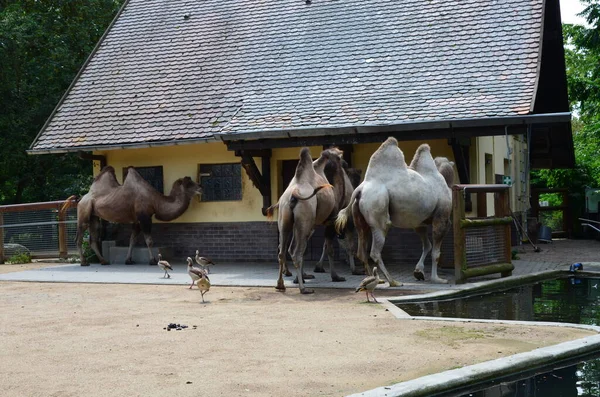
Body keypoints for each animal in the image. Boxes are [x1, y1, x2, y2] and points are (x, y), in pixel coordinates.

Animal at [73, 166, 202, 264]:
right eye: (189, 184)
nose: (200, 187)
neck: (155, 200)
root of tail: (81, 199)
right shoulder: (144, 217)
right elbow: (149, 240)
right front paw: (152, 260)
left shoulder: (137, 220)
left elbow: (132, 240)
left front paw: (128, 260)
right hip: (83, 210)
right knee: (79, 236)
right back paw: (84, 262)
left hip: (94, 216)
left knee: (93, 237)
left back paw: (104, 261)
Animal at [268, 147, 346, 292]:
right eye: (339, 157)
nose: (344, 163)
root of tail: (293, 196)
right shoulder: (331, 220)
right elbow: (329, 249)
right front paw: (336, 277)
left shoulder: (311, 225)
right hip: (304, 218)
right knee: (295, 251)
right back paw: (303, 289)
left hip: (285, 220)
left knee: (283, 251)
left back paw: (280, 284)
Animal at [332, 138, 454, 286]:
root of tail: (359, 189)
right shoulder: (441, 217)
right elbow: (435, 252)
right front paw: (437, 279)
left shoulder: (419, 223)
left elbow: (427, 245)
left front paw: (419, 272)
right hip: (378, 210)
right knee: (375, 250)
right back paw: (393, 281)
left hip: (360, 217)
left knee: (361, 250)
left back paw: (373, 279)